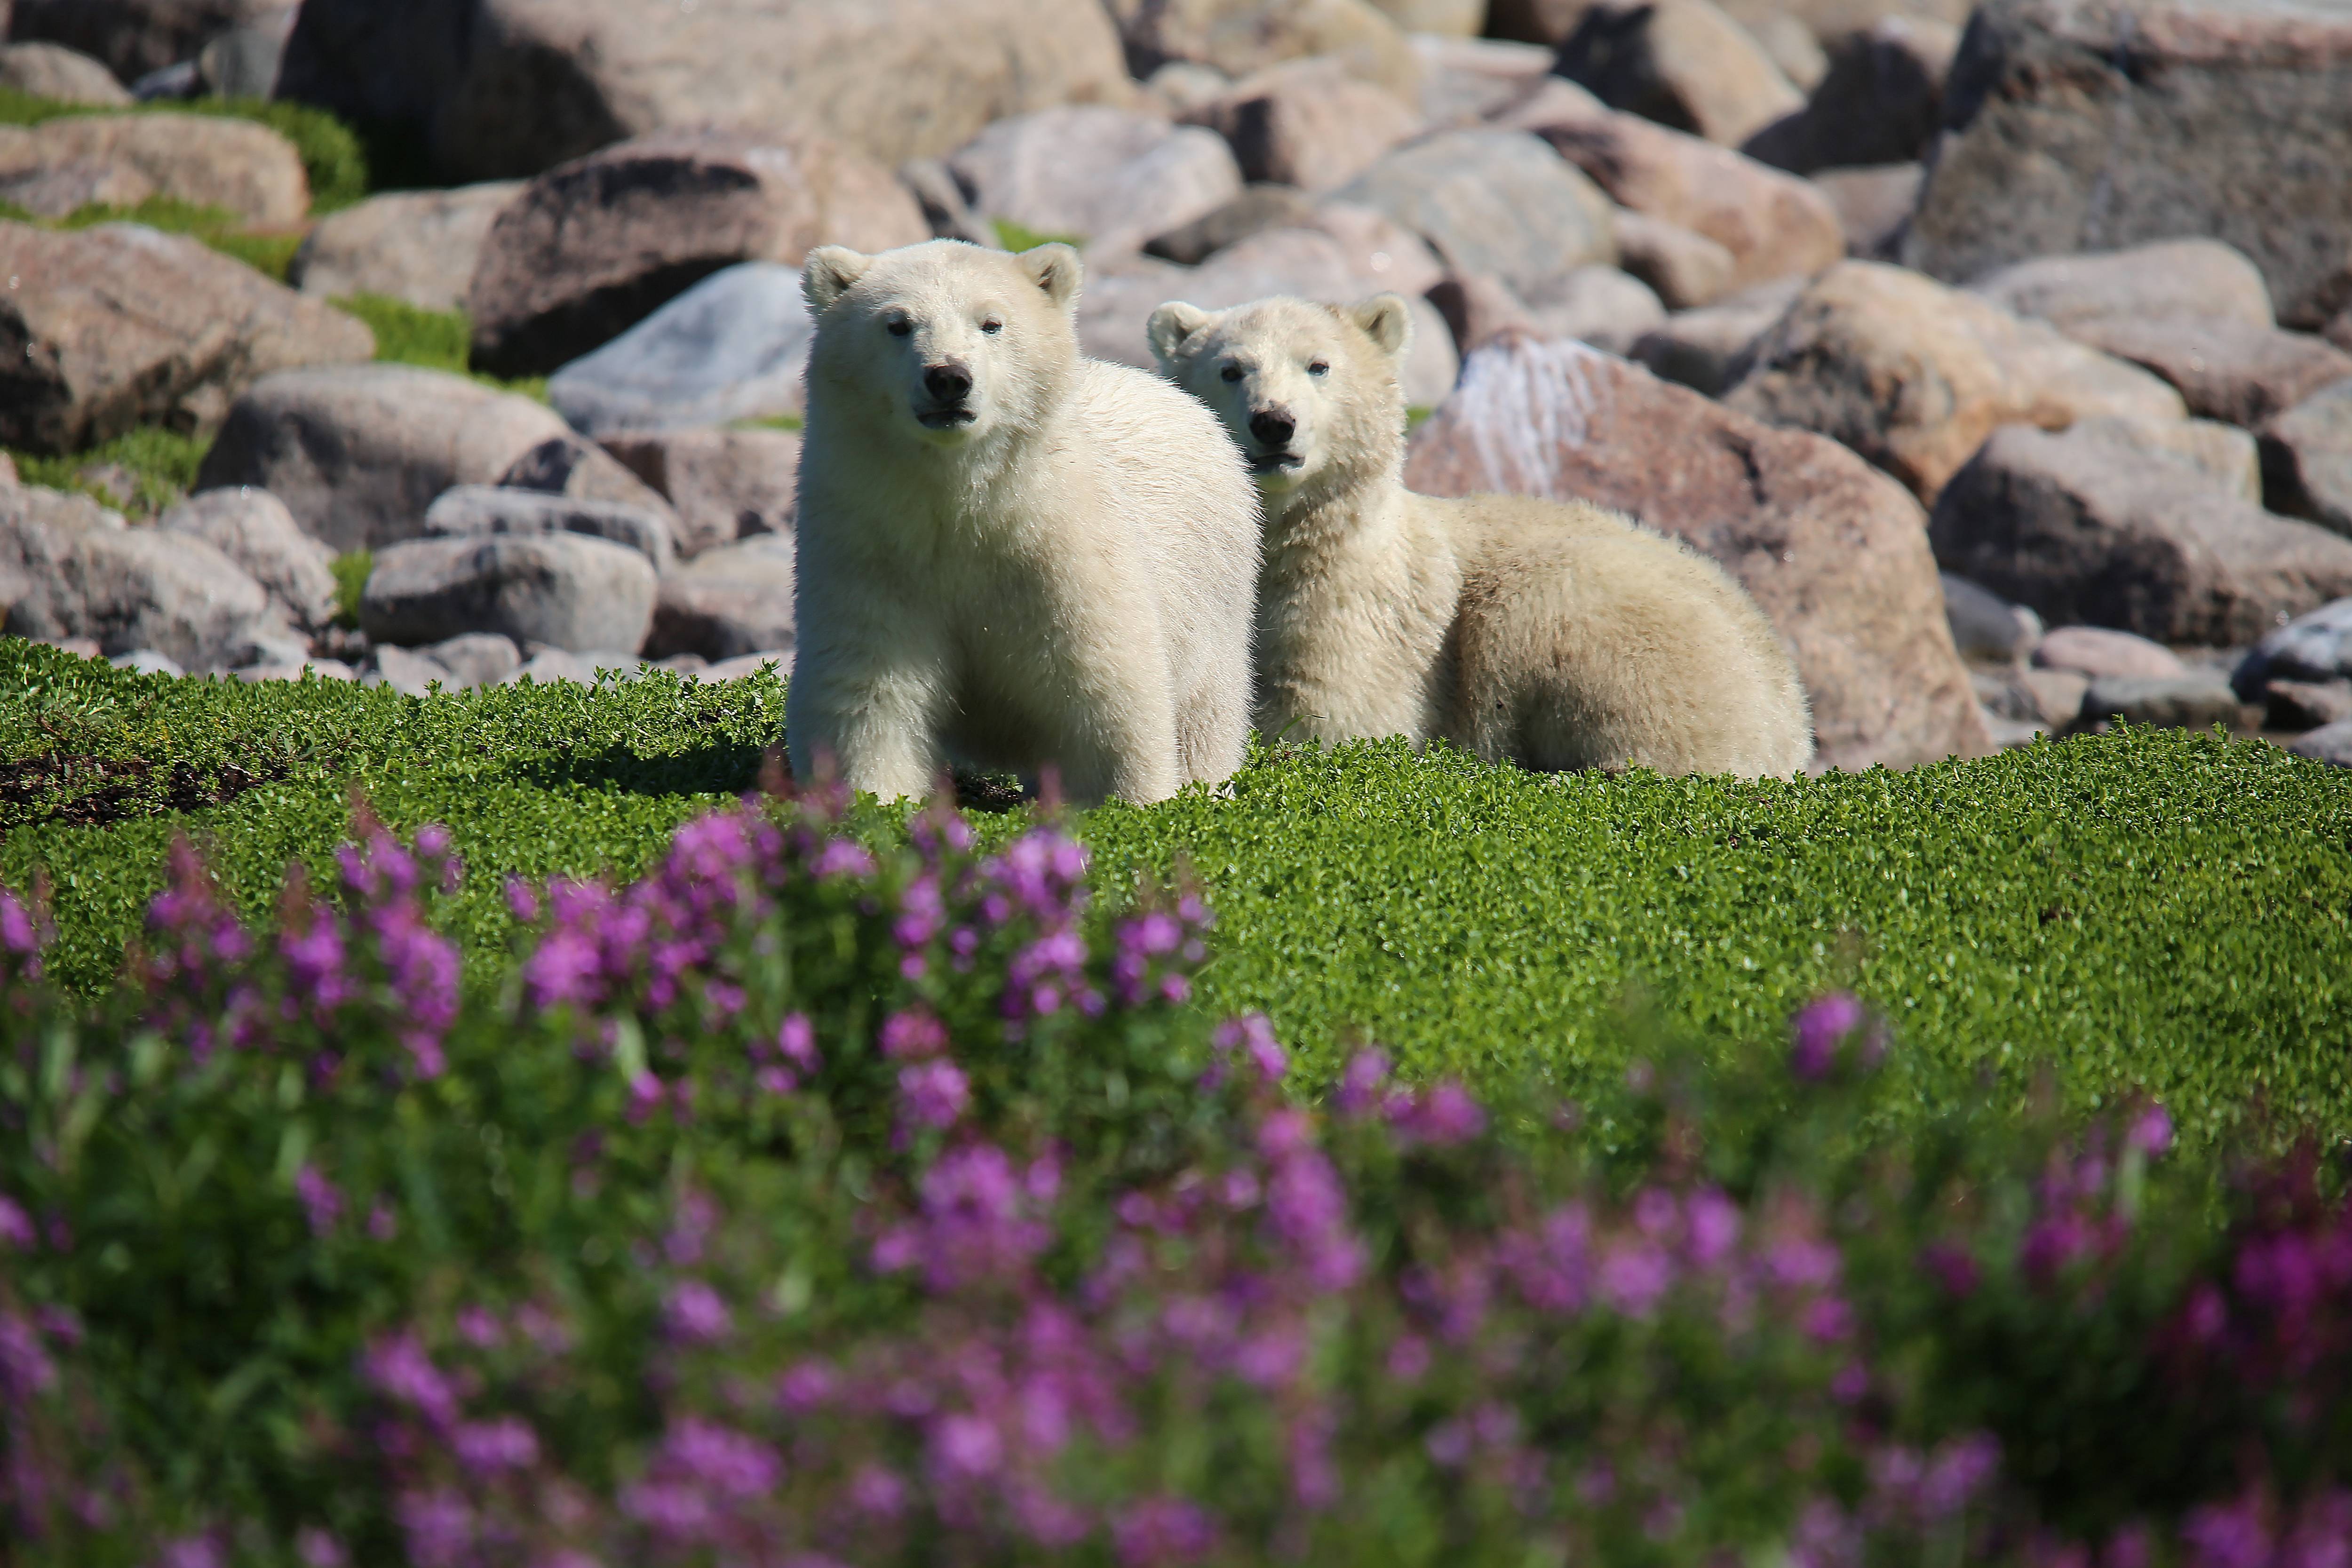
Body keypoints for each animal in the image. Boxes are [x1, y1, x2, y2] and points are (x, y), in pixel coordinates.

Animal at [788, 240, 1261, 805]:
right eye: (897, 323)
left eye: (991, 323)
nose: (949, 377)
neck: (960, 503)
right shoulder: (867, 546)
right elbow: (869, 691)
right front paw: (871, 798)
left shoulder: (1060, 552)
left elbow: (1107, 687)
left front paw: (1132, 801)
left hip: (1213, 595)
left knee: (1205, 712)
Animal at [1147, 292, 1814, 778]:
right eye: (1230, 369)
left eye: (1319, 365)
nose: (1273, 423)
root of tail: (1791, 716)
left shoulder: (1368, 614)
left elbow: (1336, 717)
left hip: (1609, 621)